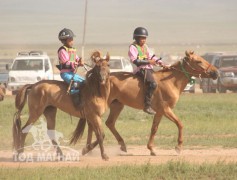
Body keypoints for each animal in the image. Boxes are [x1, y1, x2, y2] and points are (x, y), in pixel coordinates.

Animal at [71, 50, 218, 158]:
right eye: (198, 61)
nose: (215, 72)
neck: (170, 81)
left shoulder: (159, 112)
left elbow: (154, 128)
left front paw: (151, 149)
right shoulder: (166, 109)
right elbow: (180, 124)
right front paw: (178, 147)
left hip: (117, 105)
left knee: (108, 123)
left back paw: (114, 146)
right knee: (94, 124)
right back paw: (89, 149)